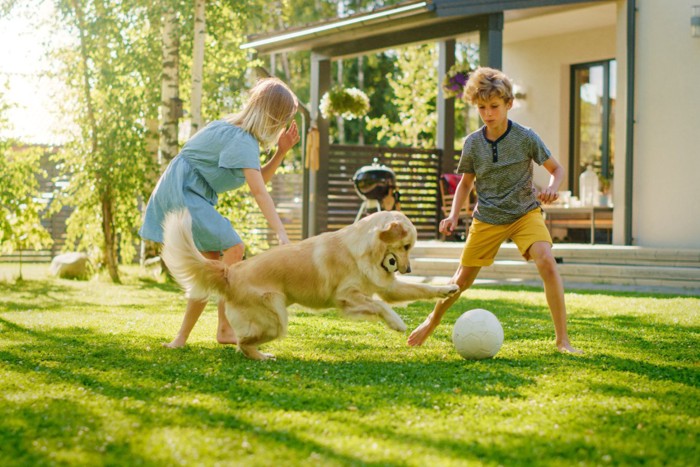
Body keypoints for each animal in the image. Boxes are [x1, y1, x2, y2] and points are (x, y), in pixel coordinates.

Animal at [162, 210, 462, 360]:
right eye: (407, 246)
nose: (409, 268)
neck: (364, 250)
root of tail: (230, 272)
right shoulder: (346, 296)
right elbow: (379, 305)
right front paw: (396, 322)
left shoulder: (384, 287)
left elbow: (420, 290)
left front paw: (447, 289)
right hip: (276, 318)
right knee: (243, 342)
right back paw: (262, 357)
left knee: (241, 342)